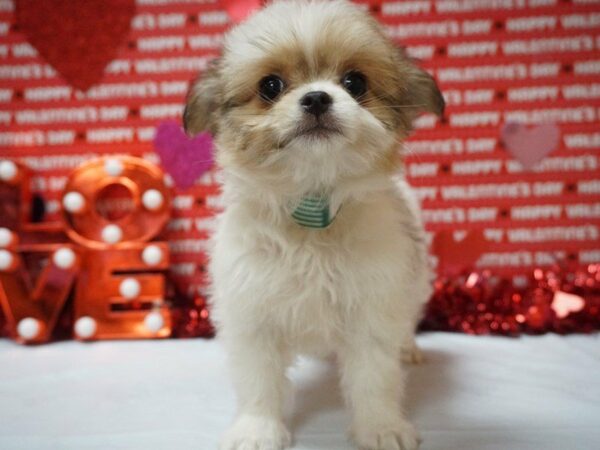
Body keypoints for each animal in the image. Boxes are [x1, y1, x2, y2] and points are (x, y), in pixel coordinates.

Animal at [185, 0, 442, 450]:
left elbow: (375, 379)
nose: (317, 97)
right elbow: (258, 382)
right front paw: (257, 429)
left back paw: (408, 347)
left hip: (418, 279)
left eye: (355, 82)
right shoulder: (252, 314)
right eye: (270, 86)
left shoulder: (372, 309)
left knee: (409, 317)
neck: (311, 209)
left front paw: (381, 427)